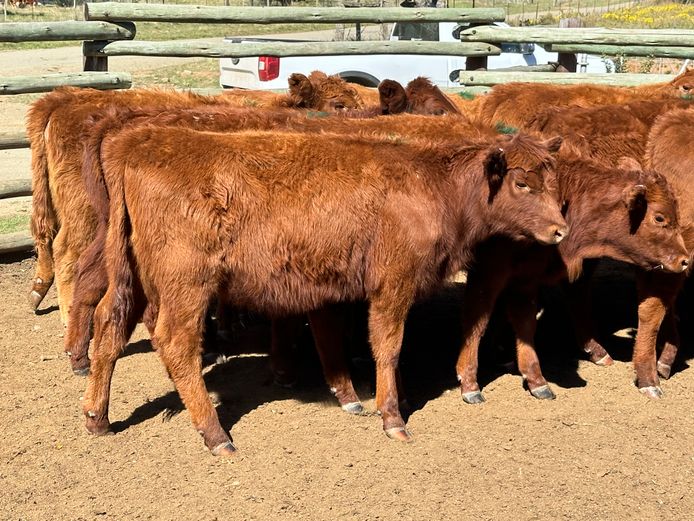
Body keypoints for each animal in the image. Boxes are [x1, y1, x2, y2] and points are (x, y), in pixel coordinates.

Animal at [84, 127, 568, 456]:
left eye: (555, 181)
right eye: (522, 183)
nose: (561, 229)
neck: (430, 184)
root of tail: (142, 142)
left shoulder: (334, 287)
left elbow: (332, 338)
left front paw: (358, 398)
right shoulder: (393, 284)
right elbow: (388, 347)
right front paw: (392, 416)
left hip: (134, 280)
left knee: (108, 326)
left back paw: (97, 418)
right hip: (187, 286)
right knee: (176, 344)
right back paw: (216, 434)